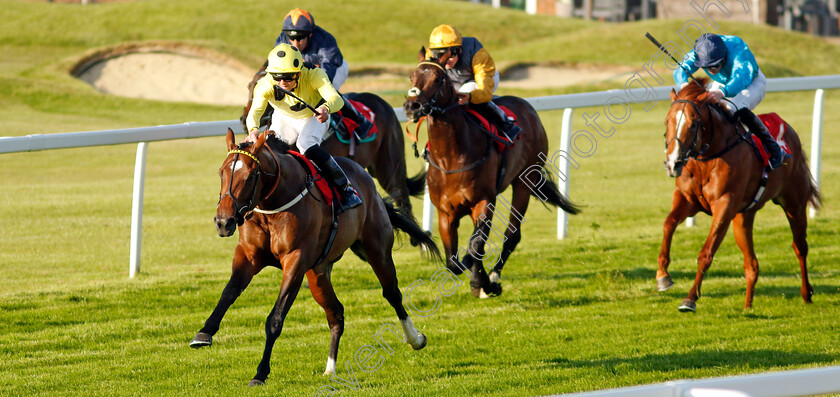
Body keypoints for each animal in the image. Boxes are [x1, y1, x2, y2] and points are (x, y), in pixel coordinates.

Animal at [189, 128, 440, 386]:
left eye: (250, 176)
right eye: (221, 172)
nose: (223, 222)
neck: (273, 204)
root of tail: (365, 177)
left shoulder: (295, 261)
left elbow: (275, 318)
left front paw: (260, 373)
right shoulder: (248, 254)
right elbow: (228, 293)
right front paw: (204, 333)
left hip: (376, 250)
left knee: (392, 293)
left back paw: (415, 338)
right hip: (318, 273)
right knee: (336, 312)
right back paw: (330, 368)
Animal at [404, 58, 580, 296]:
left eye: (438, 78)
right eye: (412, 77)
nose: (411, 106)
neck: (451, 157)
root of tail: (527, 107)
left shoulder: (484, 201)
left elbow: (476, 245)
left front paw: (483, 283)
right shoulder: (445, 212)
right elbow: (453, 262)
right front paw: (473, 273)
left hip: (525, 180)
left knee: (512, 234)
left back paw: (495, 274)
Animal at [656, 78, 820, 312]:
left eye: (694, 123)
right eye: (667, 121)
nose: (673, 163)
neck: (707, 157)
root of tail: (790, 132)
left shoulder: (725, 205)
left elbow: (706, 253)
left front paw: (690, 298)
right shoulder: (687, 199)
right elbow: (668, 224)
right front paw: (663, 276)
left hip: (794, 204)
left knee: (800, 247)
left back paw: (806, 293)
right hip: (743, 217)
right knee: (752, 264)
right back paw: (747, 306)